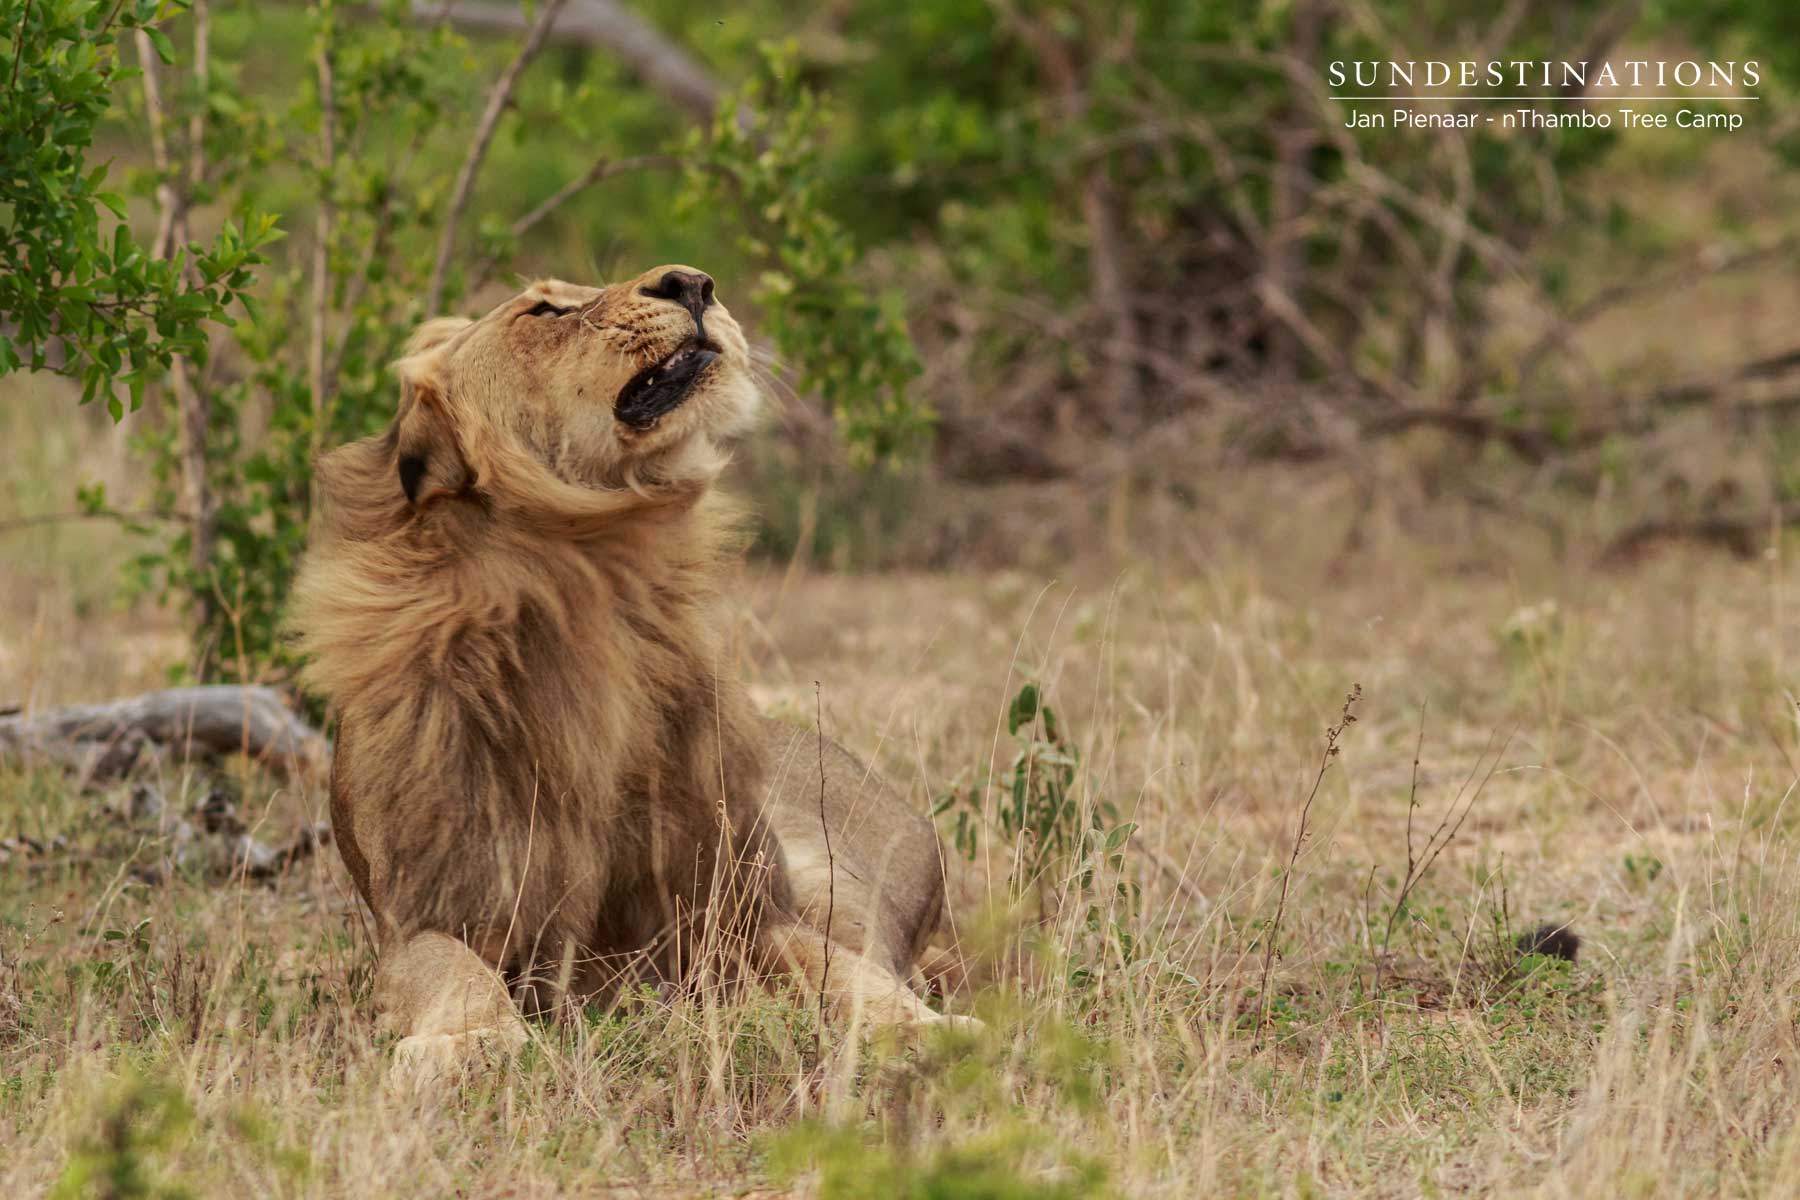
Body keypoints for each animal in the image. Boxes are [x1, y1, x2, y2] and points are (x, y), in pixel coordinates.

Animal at [290, 267, 965, 1069]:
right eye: (543, 311)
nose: (693, 282)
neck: (595, 574)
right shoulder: (427, 912)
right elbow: (452, 972)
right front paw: (474, 1042)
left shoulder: (737, 902)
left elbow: (834, 968)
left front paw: (927, 1032)